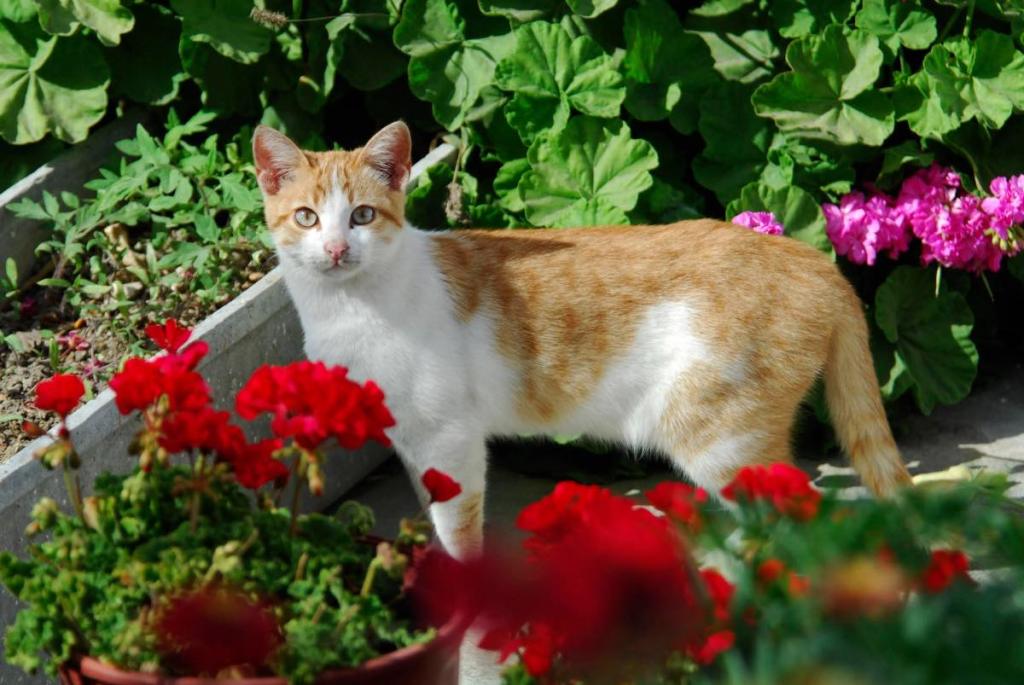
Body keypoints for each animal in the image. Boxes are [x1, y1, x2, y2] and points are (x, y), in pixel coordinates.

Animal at [253, 121, 913, 561]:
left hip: (719, 437)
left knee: (800, 519)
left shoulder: (449, 437)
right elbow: (431, 511)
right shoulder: (415, 443)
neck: (352, 306)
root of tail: (811, 260)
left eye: (362, 216)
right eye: (308, 217)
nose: (337, 248)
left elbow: (459, 528)